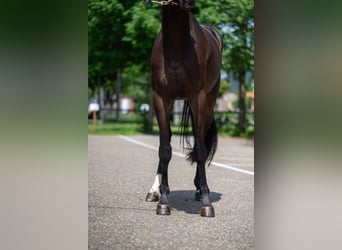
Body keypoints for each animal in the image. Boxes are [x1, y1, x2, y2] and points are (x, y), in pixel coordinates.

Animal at [146, 0, 223, 217]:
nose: (189, 1)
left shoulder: (199, 97)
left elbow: (201, 149)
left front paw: (206, 202)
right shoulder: (161, 98)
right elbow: (164, 149)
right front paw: (163, 200)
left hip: (208, 103)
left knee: (200, 141)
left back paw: (200, 190)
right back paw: (154, 190)